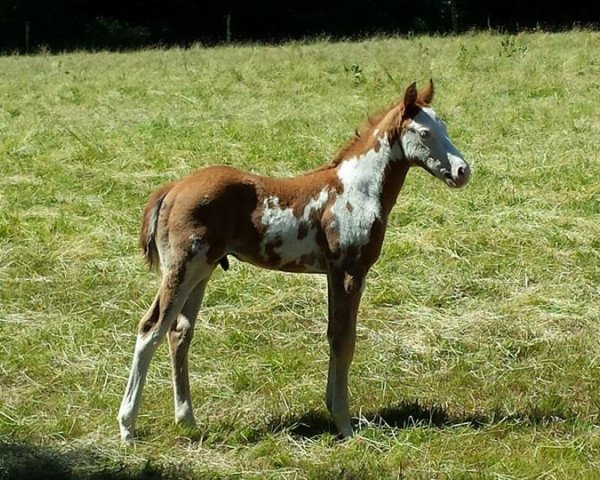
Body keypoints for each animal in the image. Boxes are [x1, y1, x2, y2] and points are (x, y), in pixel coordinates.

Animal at [117, 80, 472, 440]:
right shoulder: (350, 271)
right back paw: (127, 426)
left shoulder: (332, 274)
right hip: (184, 268)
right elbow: (345, 340)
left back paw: (186, 419)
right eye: (425, 133)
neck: (355, 191)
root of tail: (172, 189)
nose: (462, 171)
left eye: (444, 127)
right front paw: (344, 423)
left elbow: (333, 335)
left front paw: (332, 407)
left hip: (202, 271)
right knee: (151, 329)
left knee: (179, 333)